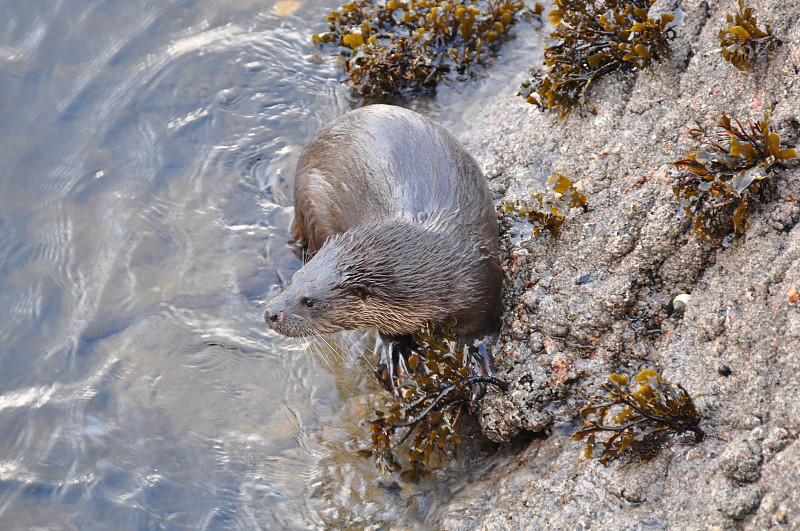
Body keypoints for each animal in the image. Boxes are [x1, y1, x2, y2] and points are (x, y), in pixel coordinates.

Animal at [262, 105, 500, 390]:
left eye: (308, 301)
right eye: (294, 280)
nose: (270, 313)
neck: (438, 262)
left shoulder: (483, 279)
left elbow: (481, 326)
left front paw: (475, 354)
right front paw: (395, 351)